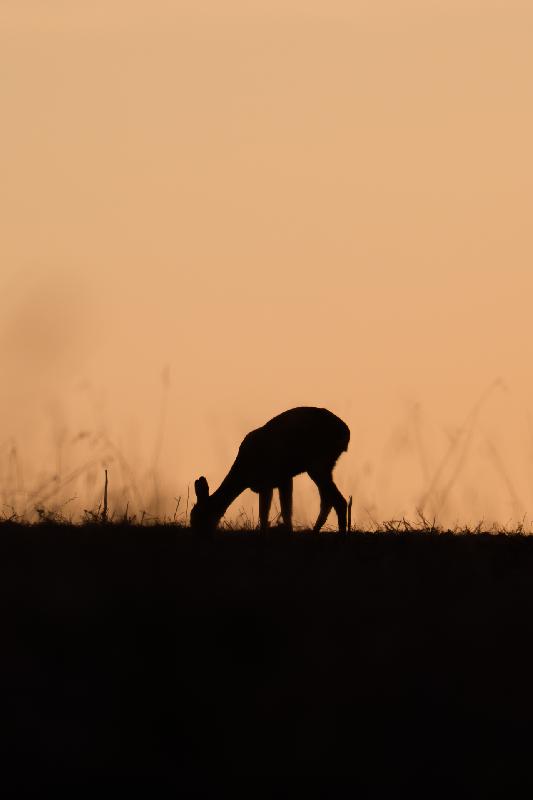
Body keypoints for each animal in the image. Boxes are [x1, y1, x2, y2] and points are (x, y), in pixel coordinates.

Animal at [190, 406, 350, 533]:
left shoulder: (271, 480)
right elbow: (283, 511)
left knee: (338, 500)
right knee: (327, 500)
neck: (244, 472)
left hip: (317, 464)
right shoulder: (281, 480)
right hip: (325, 466)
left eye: (198, 516)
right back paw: (316, 531)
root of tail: (346, 432)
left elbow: (270, 513)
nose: (197, 534)